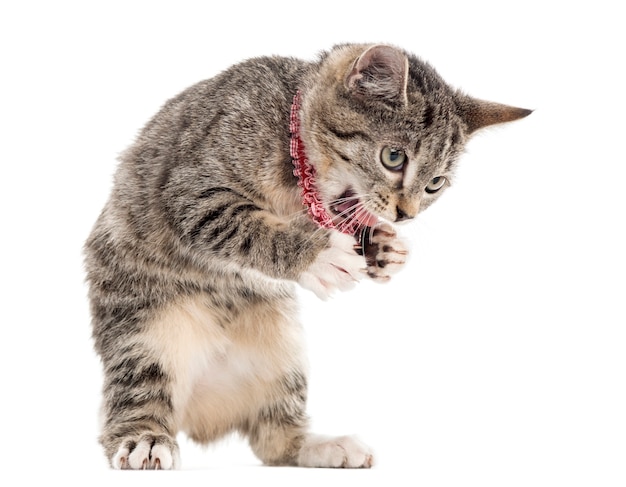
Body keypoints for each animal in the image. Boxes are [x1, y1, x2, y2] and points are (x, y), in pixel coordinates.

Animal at [83, 43, 528, 470]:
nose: (407, 214)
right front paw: (320, 255)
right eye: (393, 157)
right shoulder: (193, 190)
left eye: (435, 183)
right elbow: (243, 226)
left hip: (285, 350)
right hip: (143, 331)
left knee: (274, 439)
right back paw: (144, 438)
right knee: (137, 395)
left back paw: (323, 446)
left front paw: (383, 249)